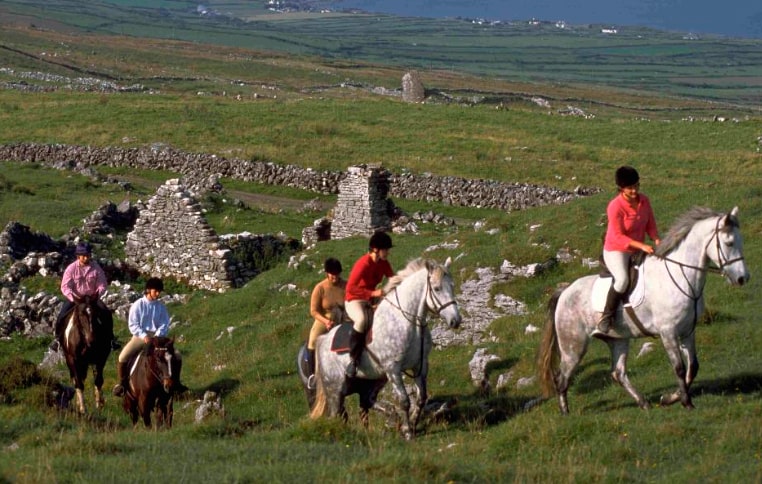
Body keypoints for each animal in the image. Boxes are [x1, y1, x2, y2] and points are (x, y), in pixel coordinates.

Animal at [308, 258, 460, 438]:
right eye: (436, 288)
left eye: (452, 286)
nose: (456, 320)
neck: (407, 321)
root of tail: (323, 339)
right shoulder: (393, 368)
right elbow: (404, 400)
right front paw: (408, 432)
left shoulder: (420, 366)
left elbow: (421, 398)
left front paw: (413, 424)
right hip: (335, 387)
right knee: (336, 412)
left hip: (375, 379)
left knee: (367, 401)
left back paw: (390, 417)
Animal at [540, 206, 748, 414]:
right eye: (729, 243)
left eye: (740, 241)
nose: (742, 278)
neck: (681, 278)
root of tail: (565, 291)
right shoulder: (668, 332)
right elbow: (679, 368)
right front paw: (685, 402)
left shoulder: (688, 331)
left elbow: (693, 367)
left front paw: (669, 398)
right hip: (574, 346)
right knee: (562, 377)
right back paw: (565, 413)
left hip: (618, 340)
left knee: (618, 373)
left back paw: (643, 402)